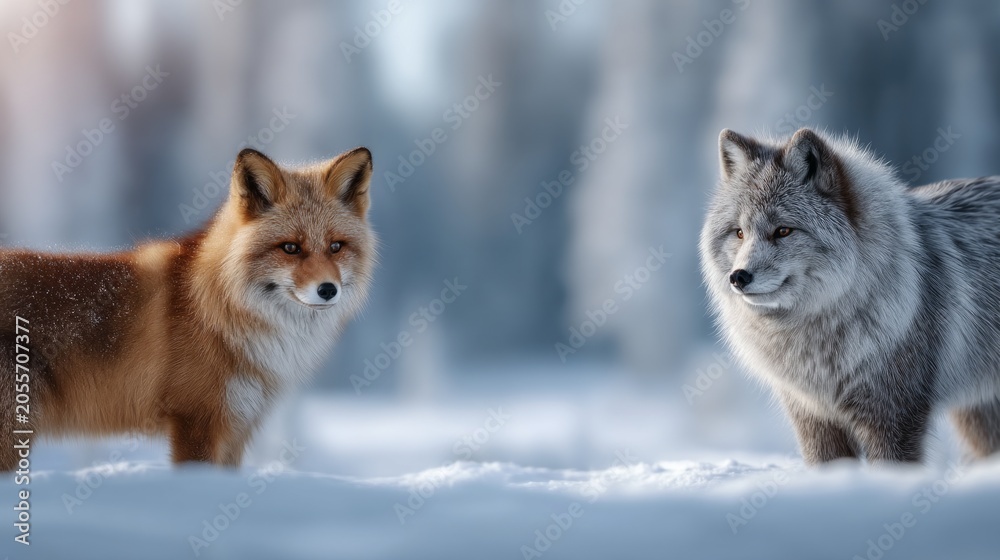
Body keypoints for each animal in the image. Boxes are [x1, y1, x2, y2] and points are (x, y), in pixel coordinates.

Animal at [0, 147, 376, 469]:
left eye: (336, 247)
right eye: (291, 248)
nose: (328, 290)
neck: (219, 310)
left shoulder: (236, 426)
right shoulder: (197, 420)